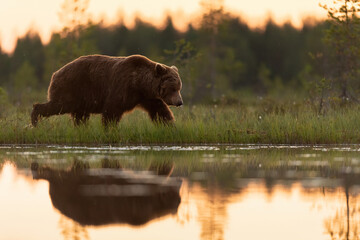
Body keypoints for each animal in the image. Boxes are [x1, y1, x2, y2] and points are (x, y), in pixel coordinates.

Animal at [30, 54, 183, 125]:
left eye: (179, 87)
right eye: (173, 88)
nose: (180, 102)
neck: (139, 83)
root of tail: (55, 73)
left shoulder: (146, 97)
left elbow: (160, 111)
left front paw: (169, 125)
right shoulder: (122, 88)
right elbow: (112, 111)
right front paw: (110, 128)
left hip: (81, 98)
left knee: (80, 116)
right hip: (71, 88)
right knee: (58, 105)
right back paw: (35, 119)